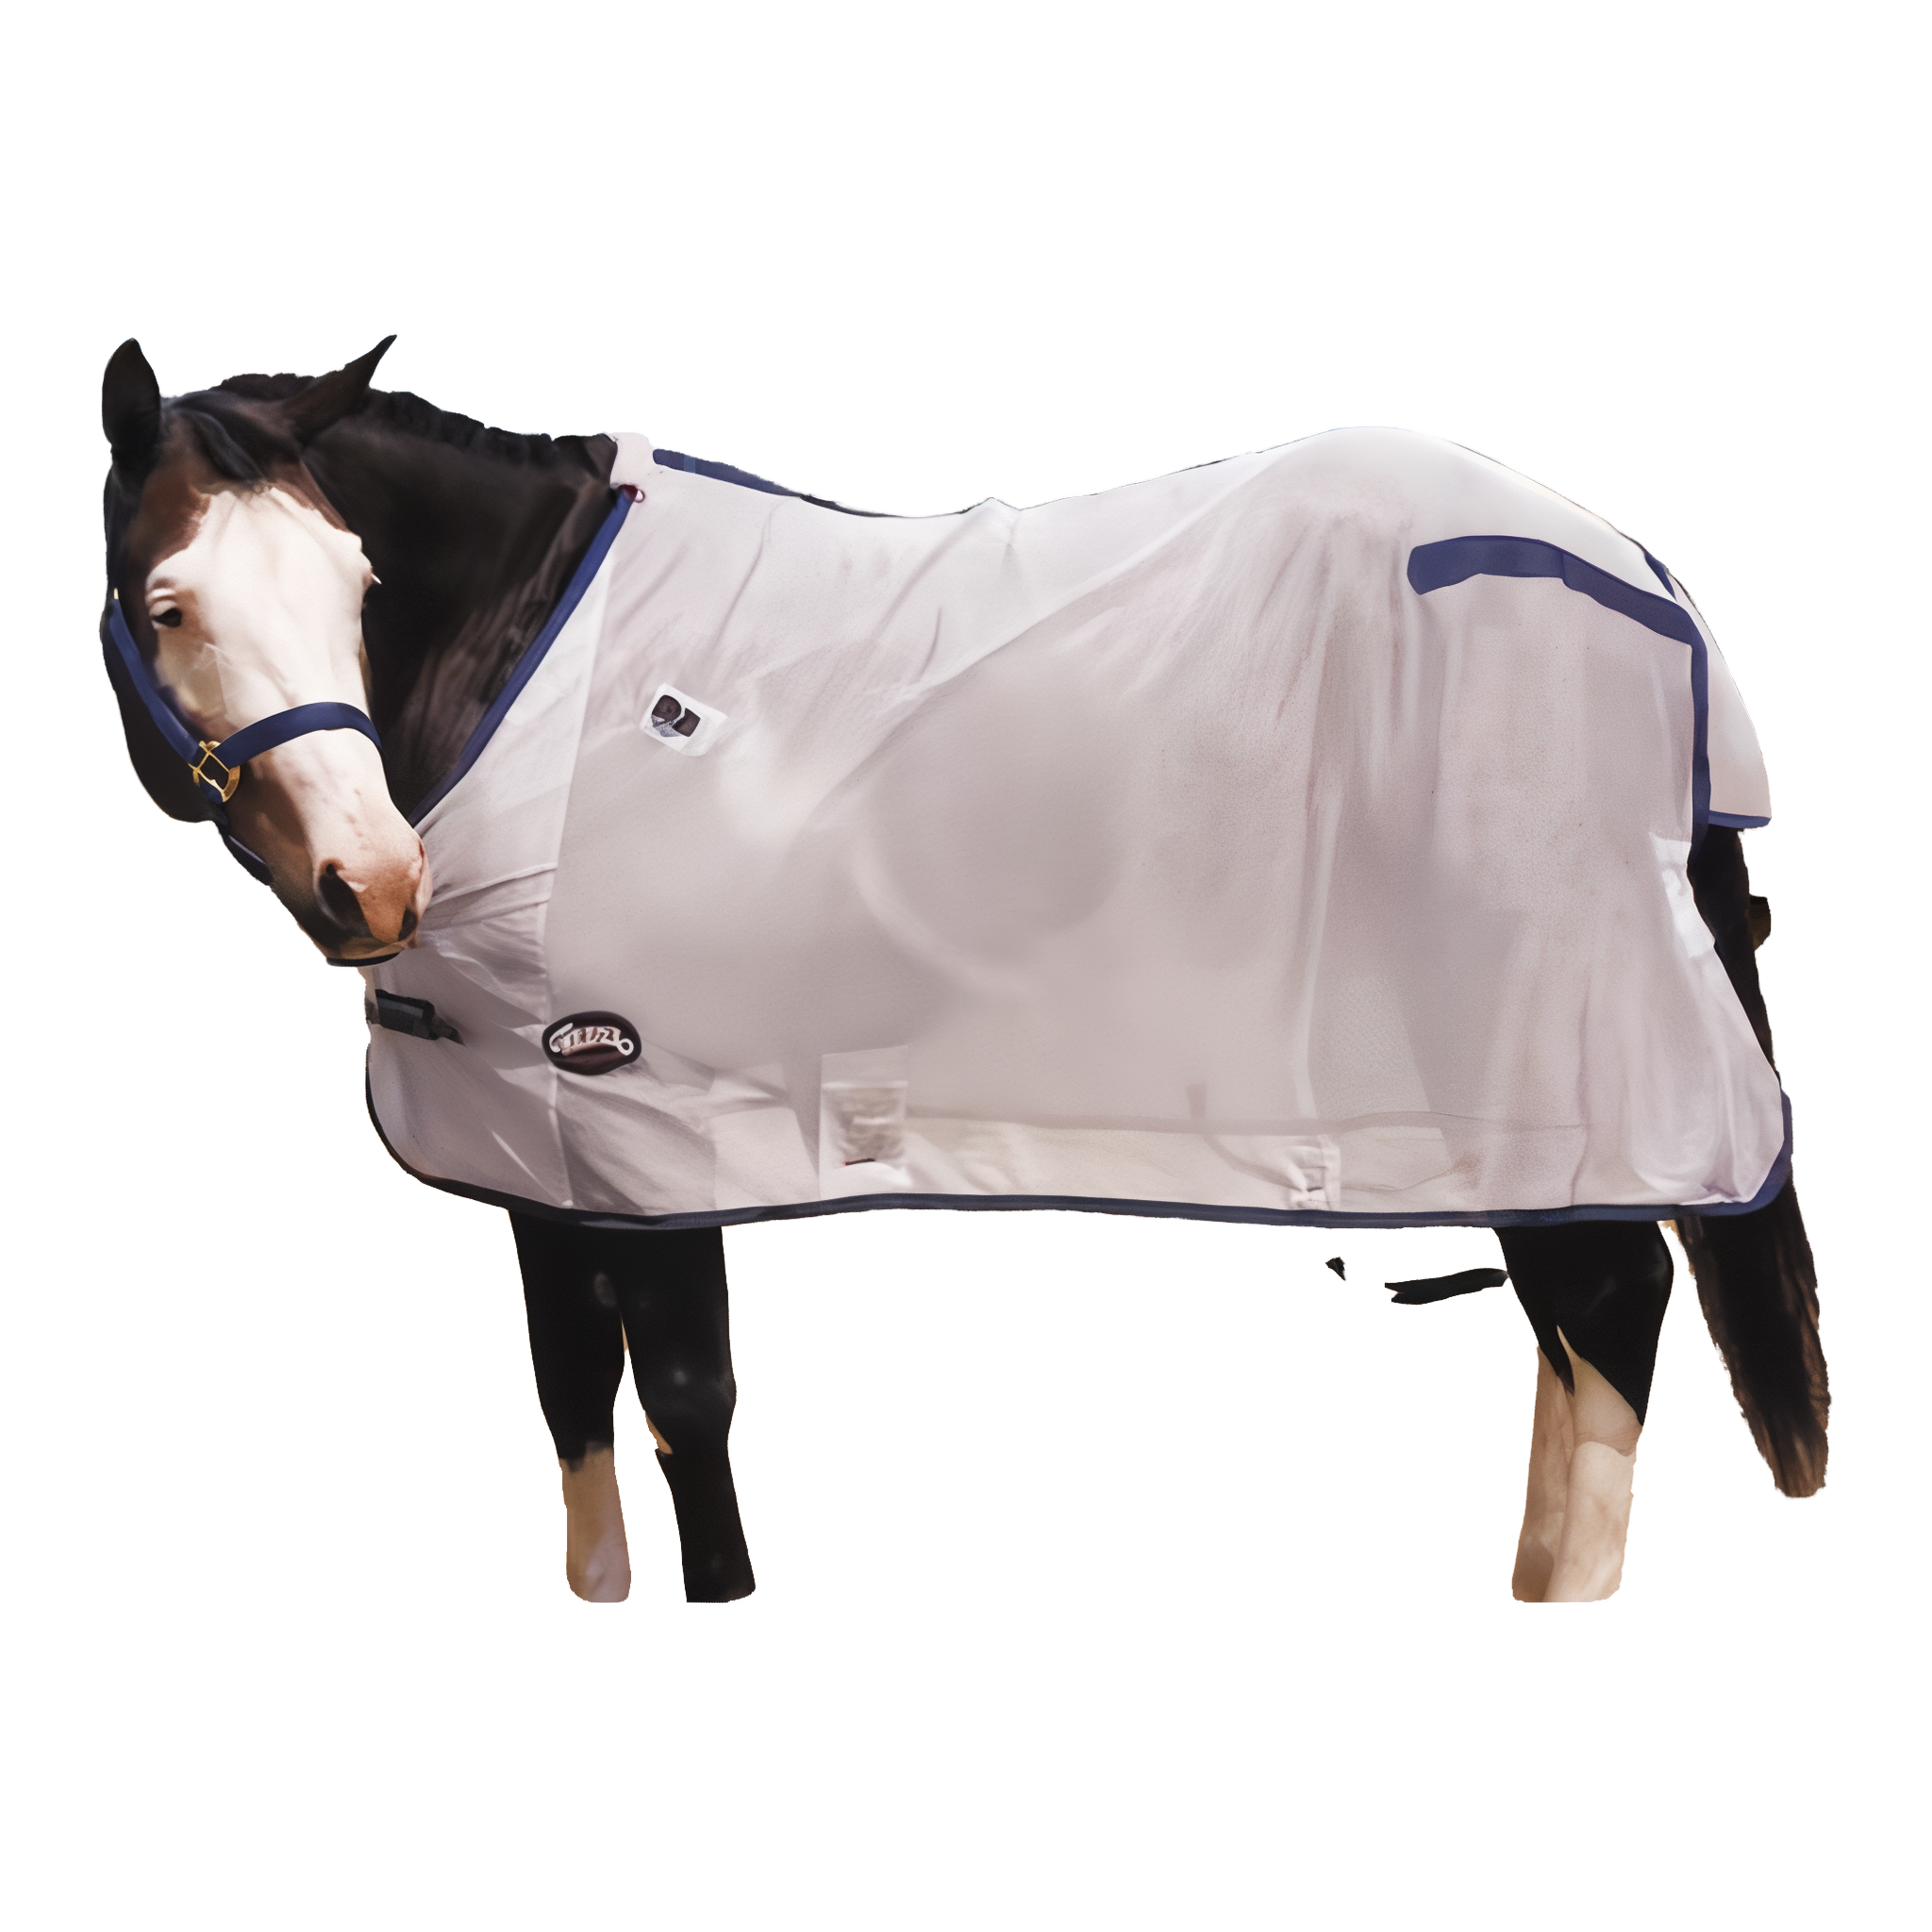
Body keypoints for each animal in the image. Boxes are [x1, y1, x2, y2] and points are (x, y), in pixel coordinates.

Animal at [97, 333, 1834, 1603]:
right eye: (168, 599)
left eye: (359, 585)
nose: (372, 880)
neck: (550, 660)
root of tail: (1641, 586)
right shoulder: (537, 1139)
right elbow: (571, 1392)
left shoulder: (647, 1116)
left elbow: (683, 1402)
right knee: (1565, 1308)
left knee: (1607, 1297)